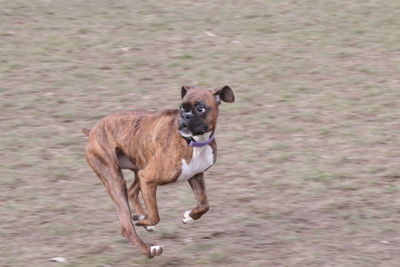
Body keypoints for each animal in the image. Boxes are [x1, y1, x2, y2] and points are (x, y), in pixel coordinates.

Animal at [83, 85, 236, 258]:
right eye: (181, 107)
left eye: (200, 109)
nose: (186, 117)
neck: (193, 143)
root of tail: (93, 130)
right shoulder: (148, 178)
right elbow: (155, 216)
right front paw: (144, 222)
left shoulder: (195, 175)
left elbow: (204, 205)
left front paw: (189, 217)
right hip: (116, 179)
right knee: (127, 225)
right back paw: (149, 248)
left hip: (139, 167)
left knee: (132, 192)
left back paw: (143, 218)